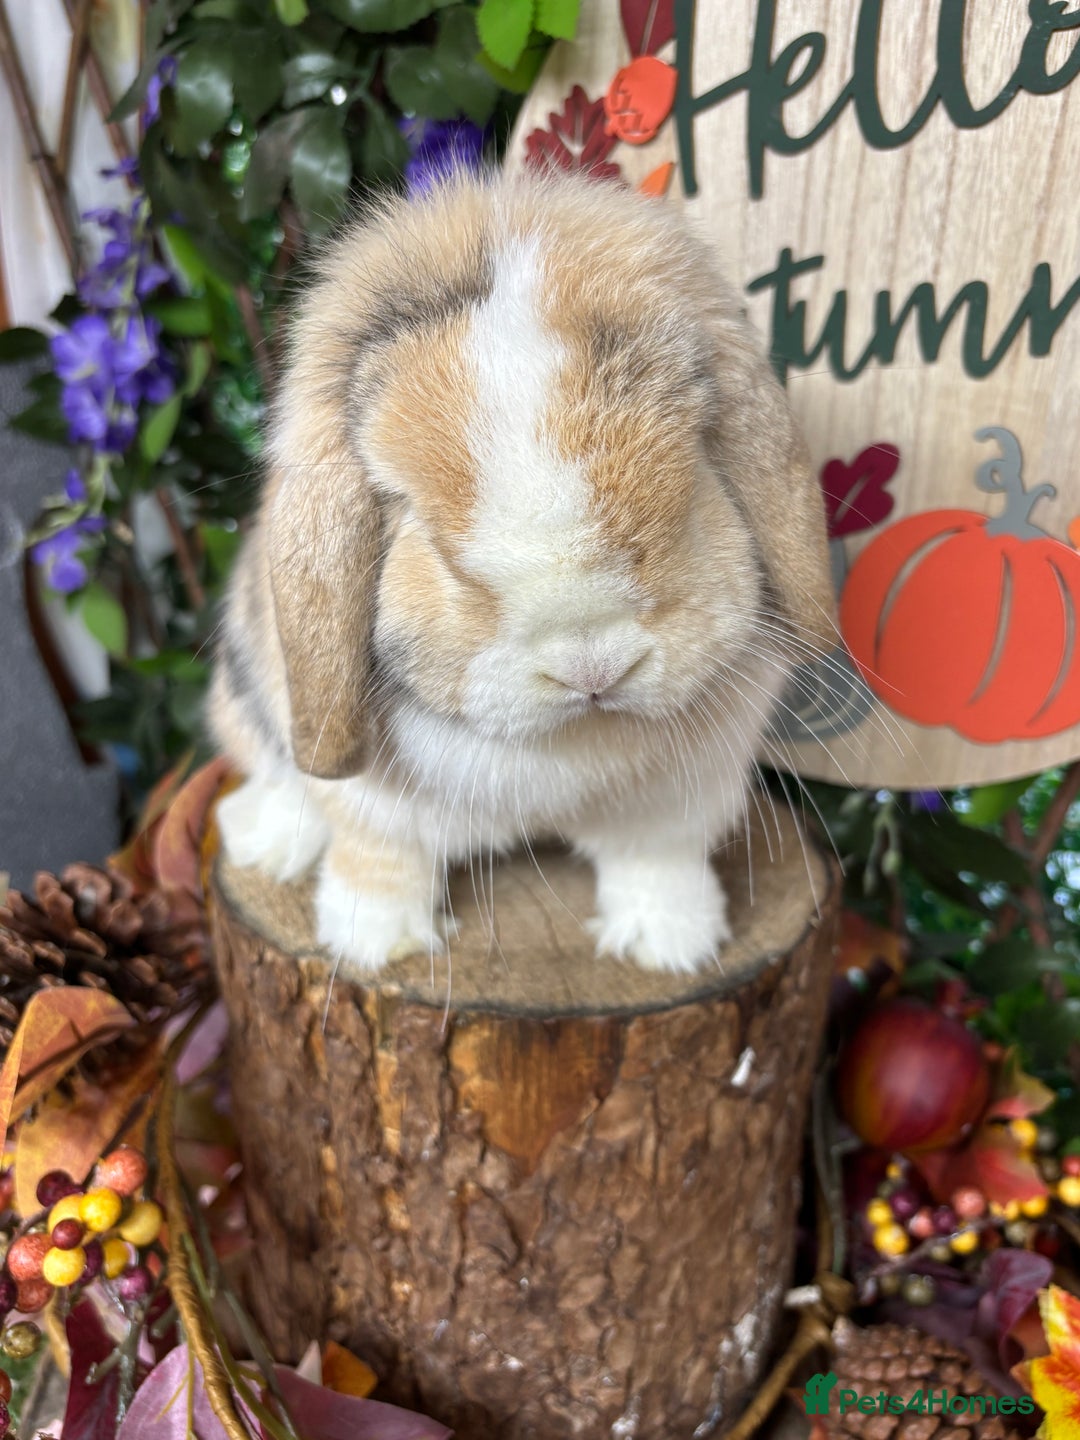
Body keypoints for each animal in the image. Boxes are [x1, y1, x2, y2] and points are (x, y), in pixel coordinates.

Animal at [207, 168, 836, 977]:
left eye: (693, 475)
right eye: (415, 525)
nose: (592, 668)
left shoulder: (676, 801)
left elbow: (657, 863)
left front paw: (671, 943)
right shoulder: (376, 808)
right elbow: (380, 859)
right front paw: (374, 942)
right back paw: (267, 842)